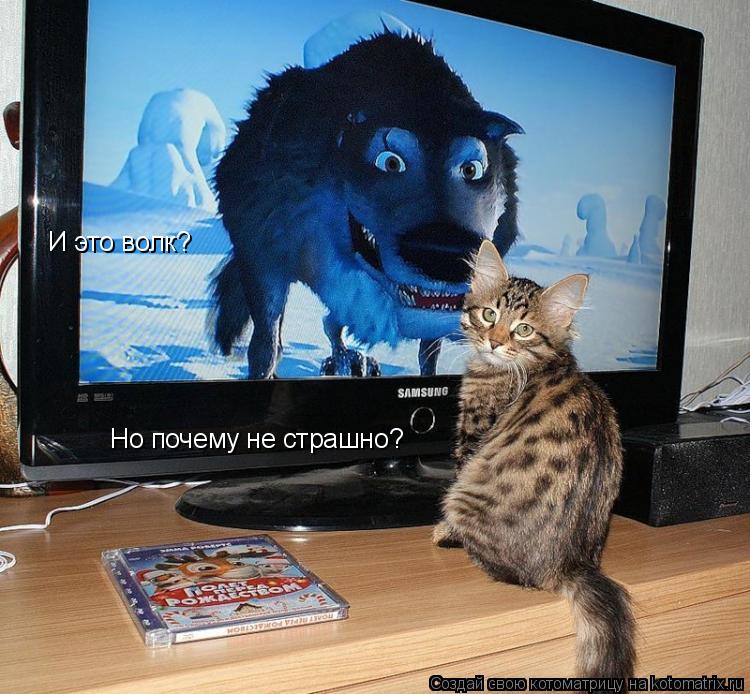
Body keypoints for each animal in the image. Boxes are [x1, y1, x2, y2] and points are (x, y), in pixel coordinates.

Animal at [212, 31, 522, 378]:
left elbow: (429, 352)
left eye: (471, 169)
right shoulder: (264, 246)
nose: (443, 254)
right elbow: (266, 344)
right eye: (390, 162)